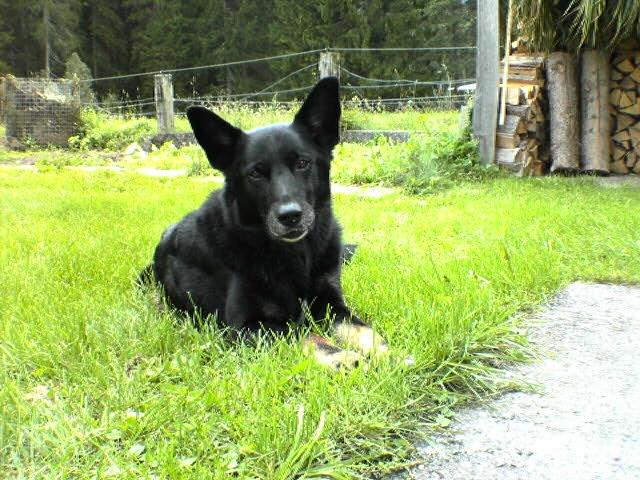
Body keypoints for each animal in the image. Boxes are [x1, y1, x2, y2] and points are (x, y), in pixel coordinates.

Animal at [146, 77, 387, 368]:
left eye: (303, 163)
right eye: (255, 173)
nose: (290, 216)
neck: (295, 256)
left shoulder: (331, 303)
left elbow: (361, 328)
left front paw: (386, 351)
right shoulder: (247, 325)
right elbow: (302, 333)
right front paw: (342, 356)